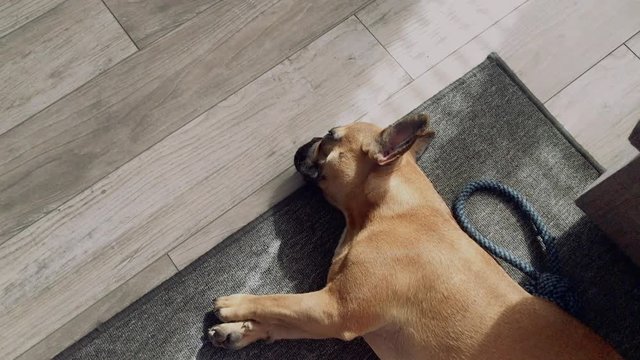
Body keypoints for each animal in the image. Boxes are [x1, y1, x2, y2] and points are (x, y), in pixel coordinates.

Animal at [210, 114, 620, 358]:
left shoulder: (334, 309)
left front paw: (235, 306)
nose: (307, 140)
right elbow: (286, 318)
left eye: (330, 137)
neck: (390, 211)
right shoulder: (330, 311)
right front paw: (241, 331)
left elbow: (278, 301)